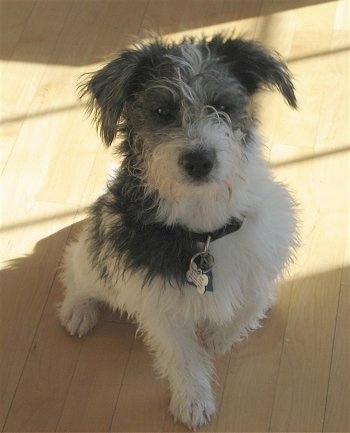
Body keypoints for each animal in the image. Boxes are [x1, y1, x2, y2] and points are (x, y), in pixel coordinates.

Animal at [57, 33, 298, 428]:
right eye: (161, 111)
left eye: (222, 105)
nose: (200, 160)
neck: (205, 230)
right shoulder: (154, 296)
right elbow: (181, 353)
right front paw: (193, 400)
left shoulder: (263, 252)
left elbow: (253, 302)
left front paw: (219, 338)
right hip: (99, 247)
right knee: (78, 266)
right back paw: (78, 309)